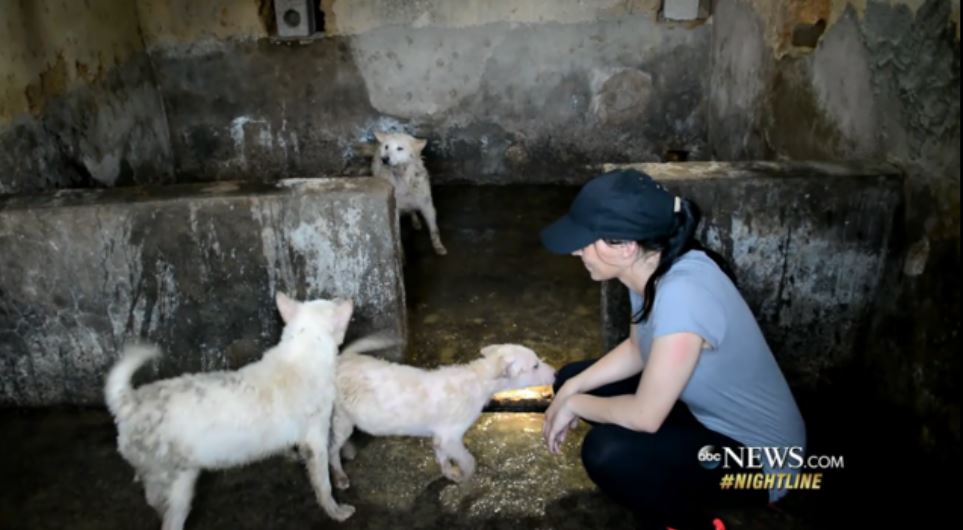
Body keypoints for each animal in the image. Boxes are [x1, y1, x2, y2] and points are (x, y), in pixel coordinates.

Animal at [103, 290, 358, 524]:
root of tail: (127, 402)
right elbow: (323, 484)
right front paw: (336, 511)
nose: (345, 296)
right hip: (179, 486)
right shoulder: (316, 439)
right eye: (331, 302)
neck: (303, 351)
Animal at [330, 338, 556, 486]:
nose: (555, 373)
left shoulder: (440, 436)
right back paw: (340, 476)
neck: (478, 381)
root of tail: (342, 358)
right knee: (331, 447)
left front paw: (450, 473)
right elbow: (469, 461)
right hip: (341, 416)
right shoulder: (451, 436)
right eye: (535, 366)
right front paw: (465, 478)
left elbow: (442, 456)